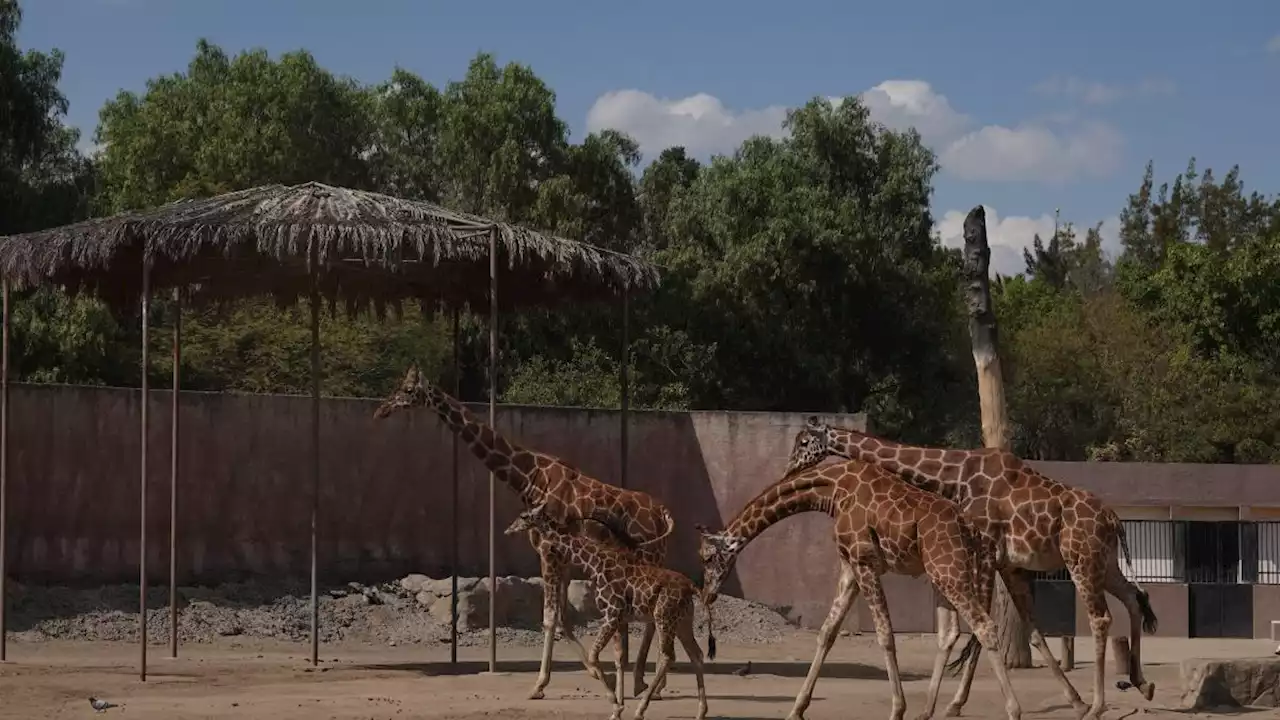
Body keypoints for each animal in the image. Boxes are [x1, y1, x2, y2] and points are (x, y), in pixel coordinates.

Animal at [373, 363, 675, 696]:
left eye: (408, 390)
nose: (381, 410)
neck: (529, 477)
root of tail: (662, 512)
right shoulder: (559, 555)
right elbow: (563, 617)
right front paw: (595, 672)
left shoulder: (548, 549)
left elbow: (549, 617)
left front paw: (539, 684)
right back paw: (643, 681)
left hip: (650, 556)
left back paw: (647, 681)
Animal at [504, 499, 716, 717]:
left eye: (524, 516)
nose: (508, 529)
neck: (594, 564)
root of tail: (691, 587)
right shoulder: (618, 617)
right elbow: (616, 657)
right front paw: (617, 705)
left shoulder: (612, 614)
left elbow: (594, 655)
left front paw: (616, 705)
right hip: (682, 621)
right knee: (696, 655)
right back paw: (700, 712)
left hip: (663, 617)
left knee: (668, 656)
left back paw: (641, 710)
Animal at [696, 456, 1024, 717]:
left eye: (707, 557)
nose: (707, 595)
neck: (832, 489)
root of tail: (969, 527)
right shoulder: (849, 566)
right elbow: (827, 633)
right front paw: (797, 709)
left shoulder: (864, 562)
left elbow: (885, 634)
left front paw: (897, 709)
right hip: (940, 573)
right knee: (949, 633)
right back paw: (927, 711)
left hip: (949, 571)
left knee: (984, 625)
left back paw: (1012, 709)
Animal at [788, 415, 1162, 717]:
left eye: (804, 441)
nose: (791, 468)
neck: (954, 476)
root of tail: (1114, 519)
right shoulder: (1002, 561)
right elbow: (1027, 629)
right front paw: (1073, 700)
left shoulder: (984, 551)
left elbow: (978, 628)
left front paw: (953, 703)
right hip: (1105, 562)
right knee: (1134, 596)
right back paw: (1141, 684)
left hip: (1081, 560)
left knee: (1102, 617)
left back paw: (1099, 705)